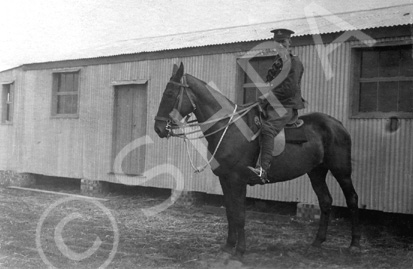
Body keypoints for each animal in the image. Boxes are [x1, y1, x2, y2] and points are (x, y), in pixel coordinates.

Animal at [153, 61, 358, 256]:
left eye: (170, 93)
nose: (158, 128)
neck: (229, 128)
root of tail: (337, 124)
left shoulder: (237, 180)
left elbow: (240, 215)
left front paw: (240, 250)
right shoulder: (225, 179)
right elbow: (230, 213)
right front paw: (229, 246)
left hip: (341, 171)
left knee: (352, 198)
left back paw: (354, 244)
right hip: (316, 171)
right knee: (325, 201)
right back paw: (318, 241)